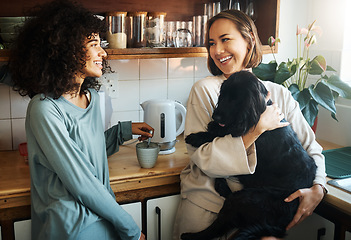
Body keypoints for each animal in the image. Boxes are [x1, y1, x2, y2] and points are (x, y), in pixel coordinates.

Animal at [183, 71, 318, 240]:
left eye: (235, 99)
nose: (216, 117)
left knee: (220, 224)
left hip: (247, 198)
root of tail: (280, 225)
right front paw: (211, 127)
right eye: (223, 95)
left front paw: (196, 137)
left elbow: (220, 134)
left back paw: (190, 235)